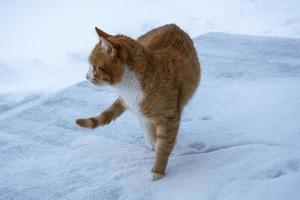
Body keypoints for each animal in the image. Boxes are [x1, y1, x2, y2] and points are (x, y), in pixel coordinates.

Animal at [76, 24, 200, 180]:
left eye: (94, 67)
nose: (86, 77)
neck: (128, 86)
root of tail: (173, 25)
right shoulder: (143, 110)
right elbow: (152, 132)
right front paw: (154, 145)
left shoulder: (168, 117)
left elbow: (163, 146)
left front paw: (157, 170)